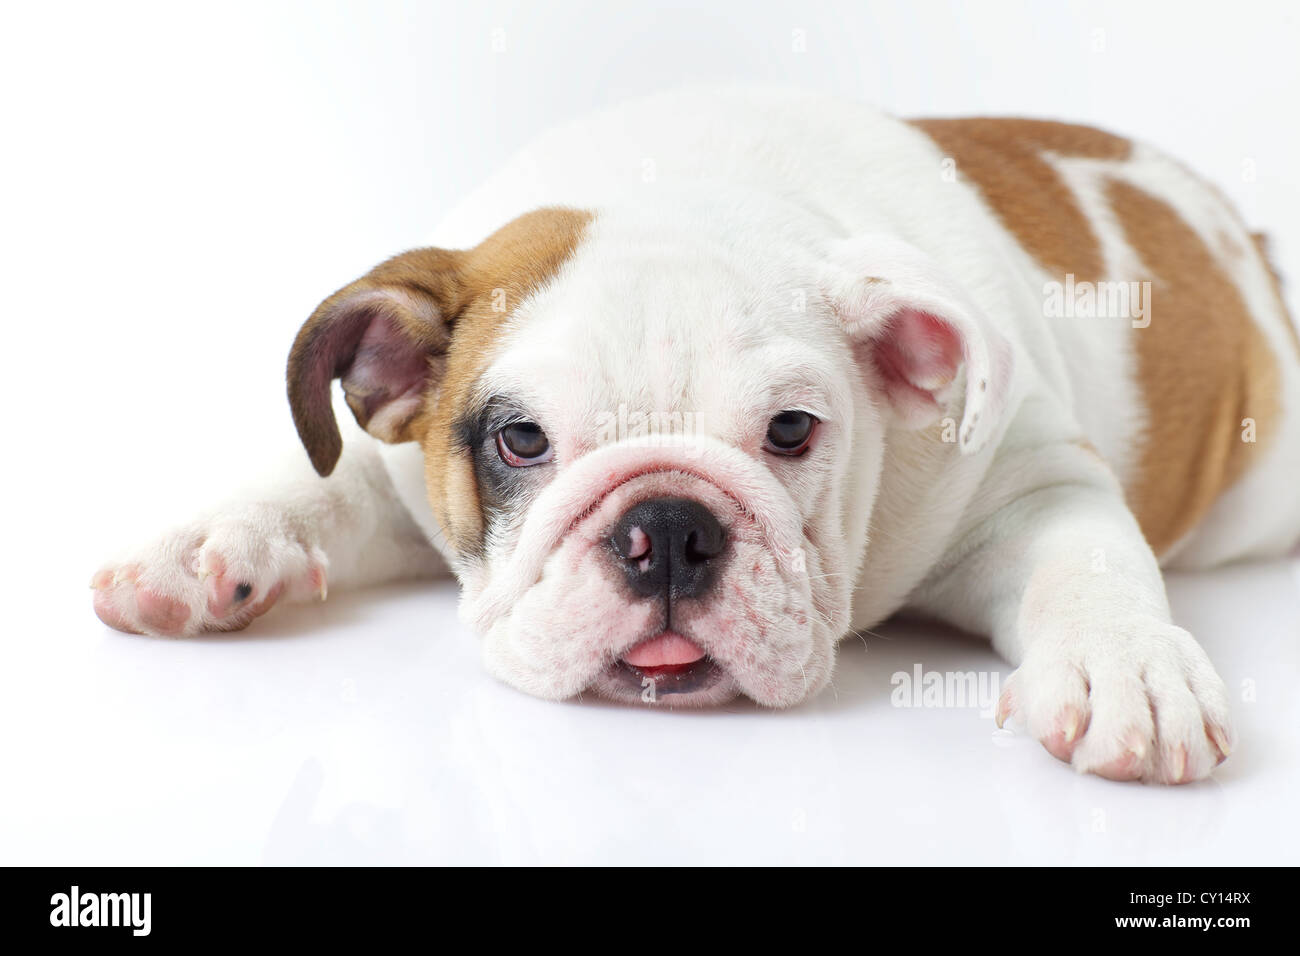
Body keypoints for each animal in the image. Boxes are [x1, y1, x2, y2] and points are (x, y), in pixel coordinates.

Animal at [91, 87, 1300, 785]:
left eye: (792, 430)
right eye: (520, 442)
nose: (666, 527)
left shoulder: (1030, 482)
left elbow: (1087, 562)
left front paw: (1125, 665)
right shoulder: (399, 467)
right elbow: (324, 481)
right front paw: (203, 544)